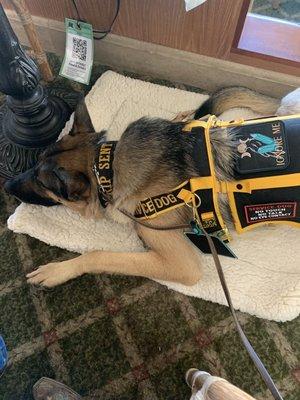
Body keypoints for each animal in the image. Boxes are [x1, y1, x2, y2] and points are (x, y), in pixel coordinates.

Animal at [4, 86, 298, 288]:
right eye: (36, 163)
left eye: (41, 183)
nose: (6, 184)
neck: (109, 169)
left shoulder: (182, 264)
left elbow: (97, 255)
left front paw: (59, 270)